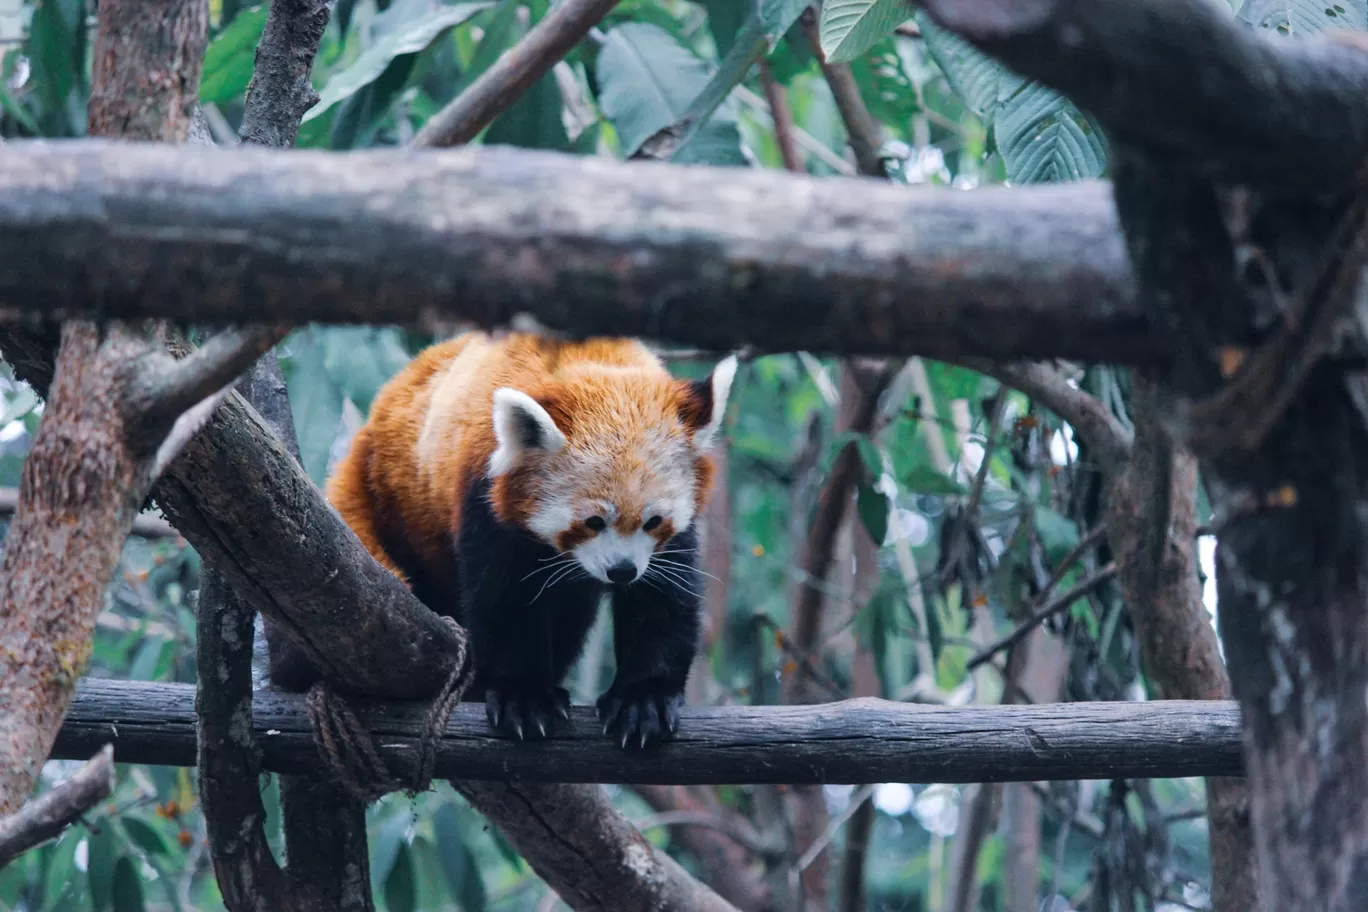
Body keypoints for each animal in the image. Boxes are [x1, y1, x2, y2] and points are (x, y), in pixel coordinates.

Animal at [321, 333, 738, 749]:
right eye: (593, 521)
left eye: (653, 521)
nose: (622, 571)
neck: (593, 363)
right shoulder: (484, 496)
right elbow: (506, 600)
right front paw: (523, 695)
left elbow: (662, 600)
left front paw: (643, 699)